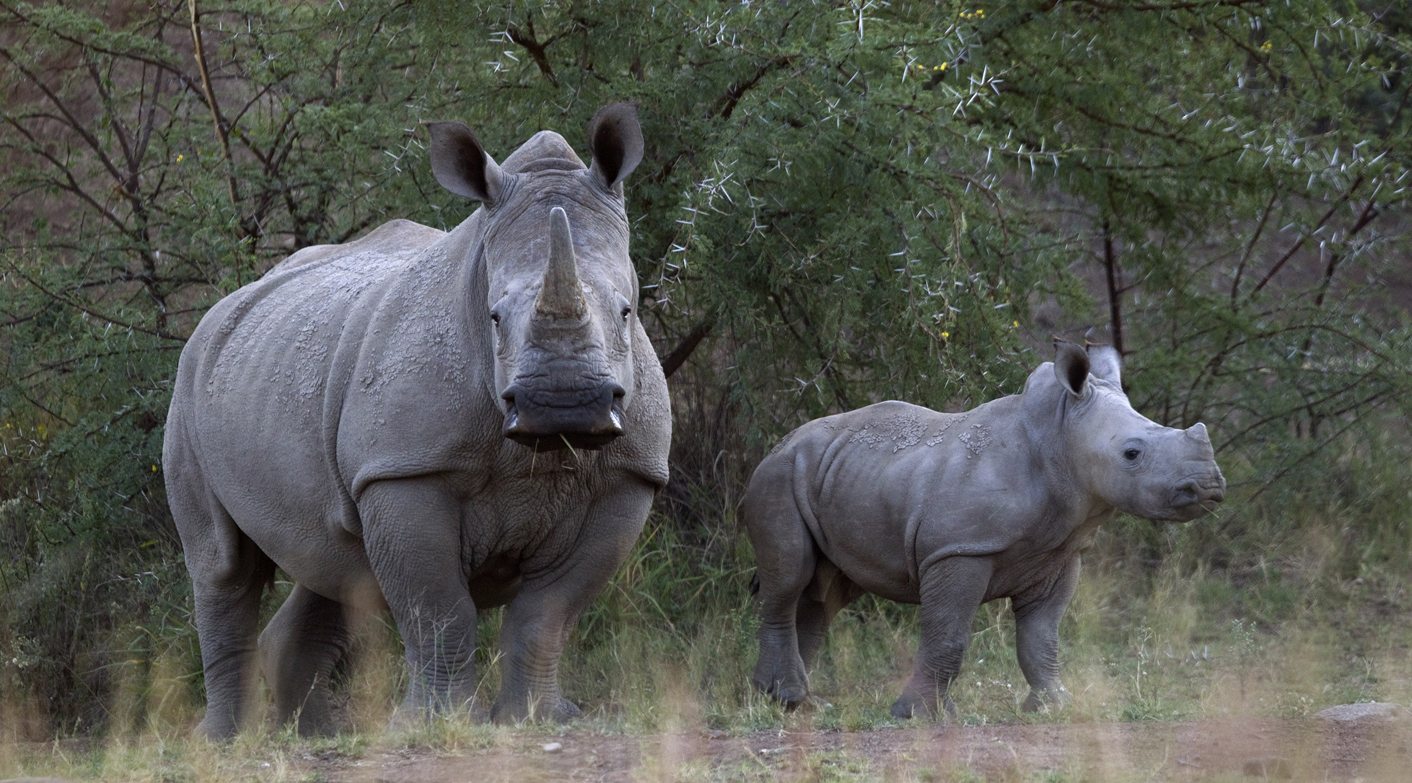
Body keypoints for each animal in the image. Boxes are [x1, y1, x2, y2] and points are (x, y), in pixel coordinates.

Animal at [162, 104, 670, 739]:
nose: (563, 405)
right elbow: (438, 606)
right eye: (494, 318)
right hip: (189, 381)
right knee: (223, 565)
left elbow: (547, 614)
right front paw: (433, 724)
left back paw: (317, 736)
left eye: (627, 312)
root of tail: (225, 305)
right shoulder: (404, 471)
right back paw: (225, 740)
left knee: (334, 560)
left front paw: (537, 719)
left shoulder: (629, 477)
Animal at [745, 341, 1224, 718]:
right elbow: (949, 634)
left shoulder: (1058, 553)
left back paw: (797, 702)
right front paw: (919, 716)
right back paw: (787, 699)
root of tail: (780, 443)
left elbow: (1042, 638)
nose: (1210, 486)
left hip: (834, 474)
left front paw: (1053, 707)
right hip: (777, 476)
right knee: (790, 577)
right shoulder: (960, 549)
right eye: (1131, 453)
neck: (1059, 437)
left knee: (826, 591)